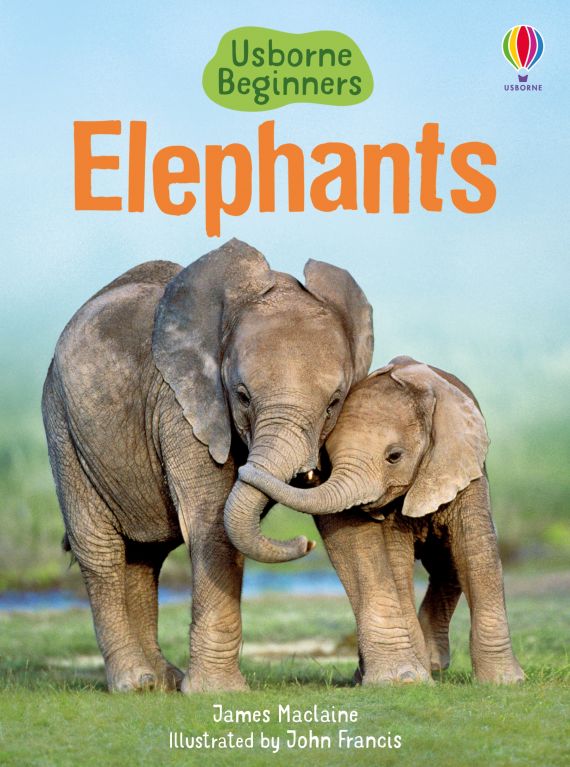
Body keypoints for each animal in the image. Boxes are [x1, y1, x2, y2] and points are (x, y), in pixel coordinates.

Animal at [41, 238, 374, 692]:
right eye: (242, 395)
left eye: (333, 403)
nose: (304, 543)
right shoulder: (181, 407)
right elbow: (212, 520)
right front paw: (218, 692)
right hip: (62, 424)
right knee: (100, 549)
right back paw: (136, 683)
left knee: (144, 556)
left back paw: (162, 681)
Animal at [239, 356, 524, 684]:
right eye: (329, 457)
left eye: (394, 456)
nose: (306, 543)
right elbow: (396, 562)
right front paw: (412, 679)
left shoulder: (463, 469)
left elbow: (475, 551)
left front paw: (506, 681)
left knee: (448, 563)